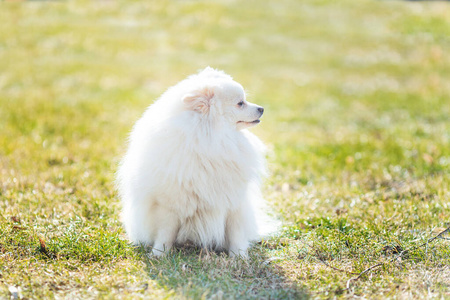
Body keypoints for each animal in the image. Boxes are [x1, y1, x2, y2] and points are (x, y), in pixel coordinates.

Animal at [116, 67, 270, 256]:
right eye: (240, 103)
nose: (262, 108)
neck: (211, 139)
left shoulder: (233, 202)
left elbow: (236, 232)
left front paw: (239, 255)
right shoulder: (171, 204)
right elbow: (166, 232)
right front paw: (159, 254)